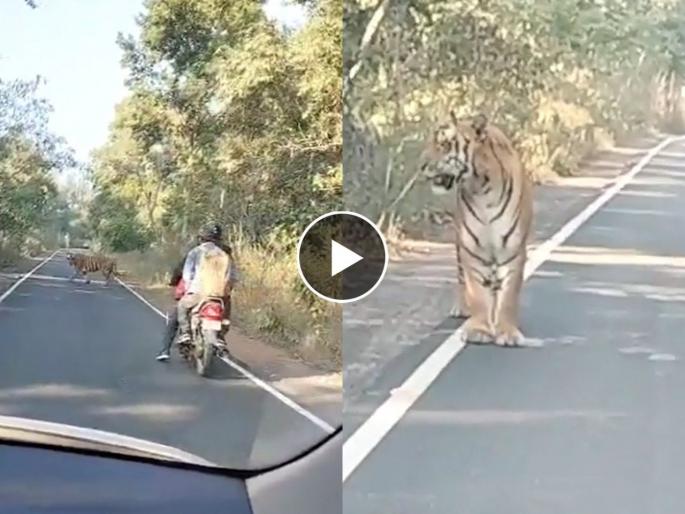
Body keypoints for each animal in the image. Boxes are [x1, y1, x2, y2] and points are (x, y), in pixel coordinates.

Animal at [419, 112, 533, 346]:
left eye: (444, 144)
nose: (421, 164)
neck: (482, 189)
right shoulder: (472, 248)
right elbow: (477, 292)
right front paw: (479, 329)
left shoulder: (512, 250)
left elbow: (508, 295)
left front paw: (507, 332)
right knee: (462, 278)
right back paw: (463, 308)